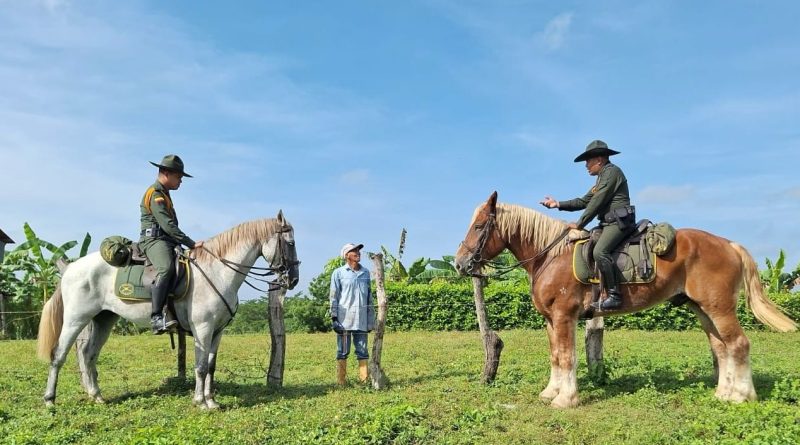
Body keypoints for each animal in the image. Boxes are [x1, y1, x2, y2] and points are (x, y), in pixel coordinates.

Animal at [37, 212, 300, 410]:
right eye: (291, 243)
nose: (294, 279)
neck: (217, 271)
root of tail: (70, 269)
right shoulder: (203, 329)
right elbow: (200, 366)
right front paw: (200, 402)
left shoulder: (217, 331)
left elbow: (211, 366)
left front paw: (212, 401)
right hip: (75, 319)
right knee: (59, 354)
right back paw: (50, 400)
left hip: (104, 319)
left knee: (88, 354)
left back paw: (97, 396)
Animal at [454, 191, 796, 406]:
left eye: (480, 226)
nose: (459, 263)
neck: (550, 256)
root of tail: (729, 244)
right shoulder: (551, 320)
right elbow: (555, 356)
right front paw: (551, 392)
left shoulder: (565, 316)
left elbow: (567, 356)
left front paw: (566, 399)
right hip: (703, 309)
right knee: (721, 348)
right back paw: (724, 393)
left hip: (719, 308)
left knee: (738, 344)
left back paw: (741, 396)